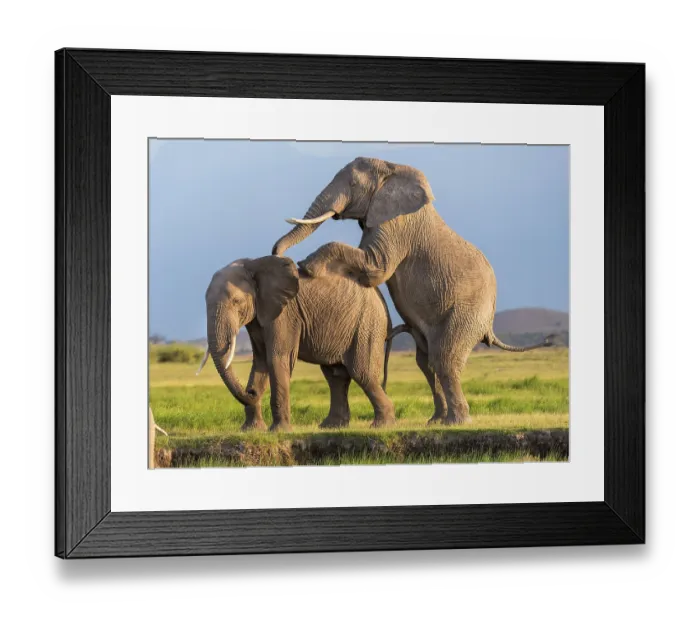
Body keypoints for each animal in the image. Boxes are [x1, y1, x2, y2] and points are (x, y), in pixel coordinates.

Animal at [197, 255, 396, 432]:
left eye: (236, 301)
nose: (250, 392)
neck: (254, 265)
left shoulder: (285, 315)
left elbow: (276, 359)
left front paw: (279, 431)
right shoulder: (259, 315)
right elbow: (260, 362)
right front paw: (250, 430)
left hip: (366, 324)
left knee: (362, 372)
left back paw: (382, 425)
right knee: (335, 376)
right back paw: (331, 426)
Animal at [272, 157, 553, 426]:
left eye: (352, 184)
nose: (281, 256)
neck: (391, 168)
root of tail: (490, 327)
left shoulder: (396, 225)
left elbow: (375, 268)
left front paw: (307, 266)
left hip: (467, 313)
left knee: (445, 358)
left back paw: (456, 422)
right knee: (427, 362)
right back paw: (436, 421)